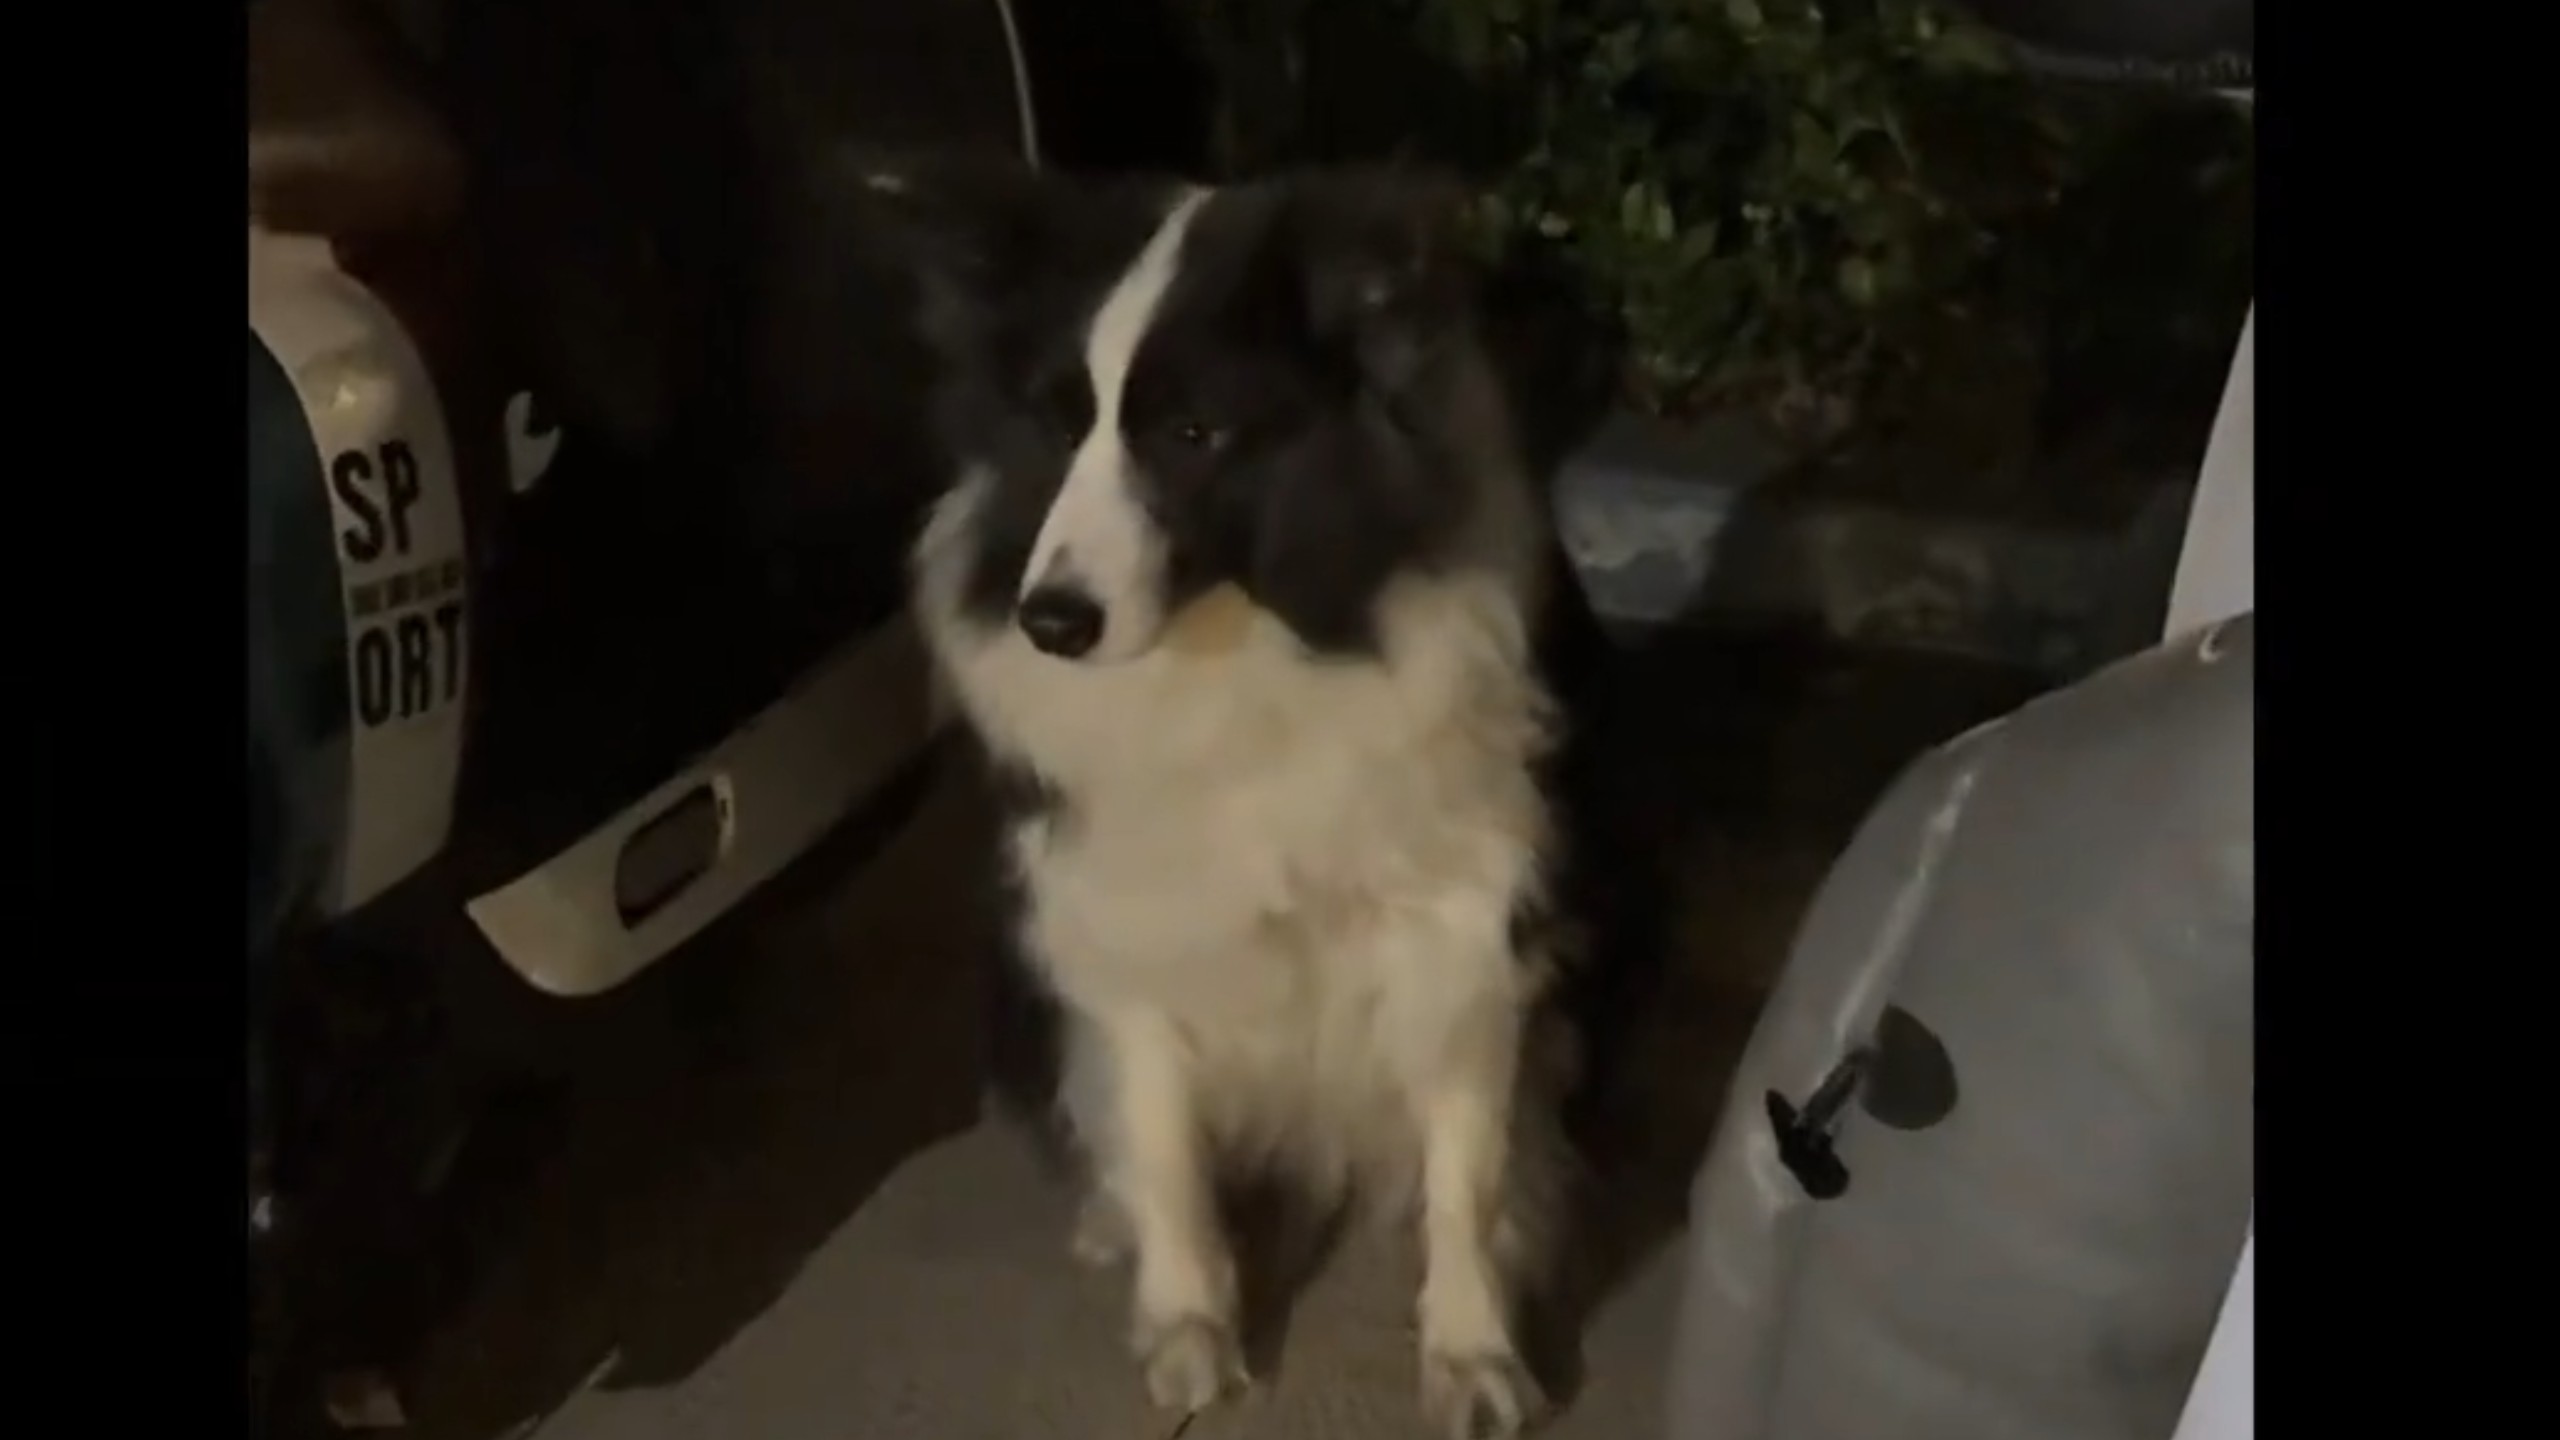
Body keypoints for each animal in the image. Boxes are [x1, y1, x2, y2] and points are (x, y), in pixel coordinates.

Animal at [872, 158, 1639, 1440]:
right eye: (1059, 424)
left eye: (1193, 434)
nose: (1049, 623)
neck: (1243, 648)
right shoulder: (1119, 919)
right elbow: (1160, 1141)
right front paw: (1189, 1327)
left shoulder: (1471, 925)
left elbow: (1469, 1171)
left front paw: (1472, 1351)